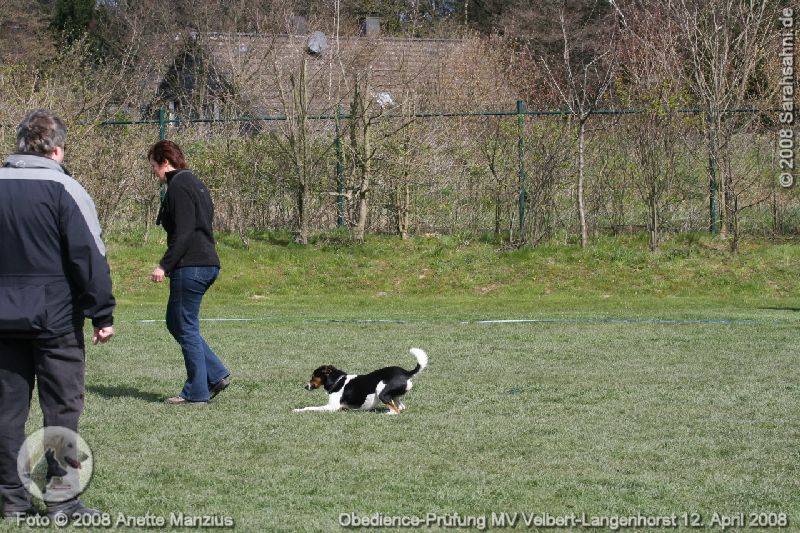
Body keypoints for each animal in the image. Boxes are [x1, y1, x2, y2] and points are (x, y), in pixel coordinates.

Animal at [293, 348, 428, 414]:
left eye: (313, 376)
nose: (306, 386)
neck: (337, 381)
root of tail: (405, 372)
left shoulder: (332, 407)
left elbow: (310, 407)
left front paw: (298, 410)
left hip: (381, 391)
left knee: (396, 411)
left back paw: (386, 413)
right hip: (393, 395)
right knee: (401, 407)